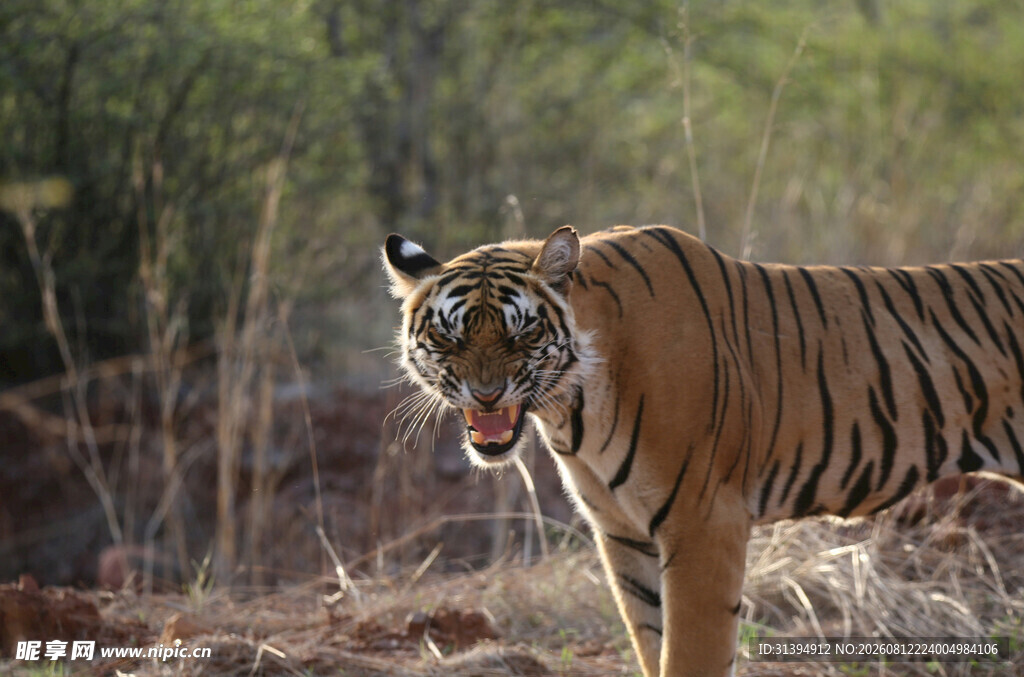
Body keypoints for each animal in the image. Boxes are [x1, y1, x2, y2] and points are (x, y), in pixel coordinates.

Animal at [382, 224, 1024, 677]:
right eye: (448, 335)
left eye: (523, 332)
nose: (486, 393)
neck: (572, 406)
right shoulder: (621, 530)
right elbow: (651, 642)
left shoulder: (703, 521)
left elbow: (691, 654)